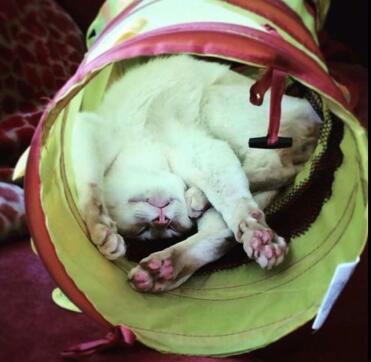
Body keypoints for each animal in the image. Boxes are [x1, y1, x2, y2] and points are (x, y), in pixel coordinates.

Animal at [71, 55, 322, 292]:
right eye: (146, 230)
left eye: (167, 227)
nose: (161, 220)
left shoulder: (197, 149)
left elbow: (91, 193)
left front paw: (103, 234)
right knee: (222, 232)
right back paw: (158, 271)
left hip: (216, 105)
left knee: (276, 168)